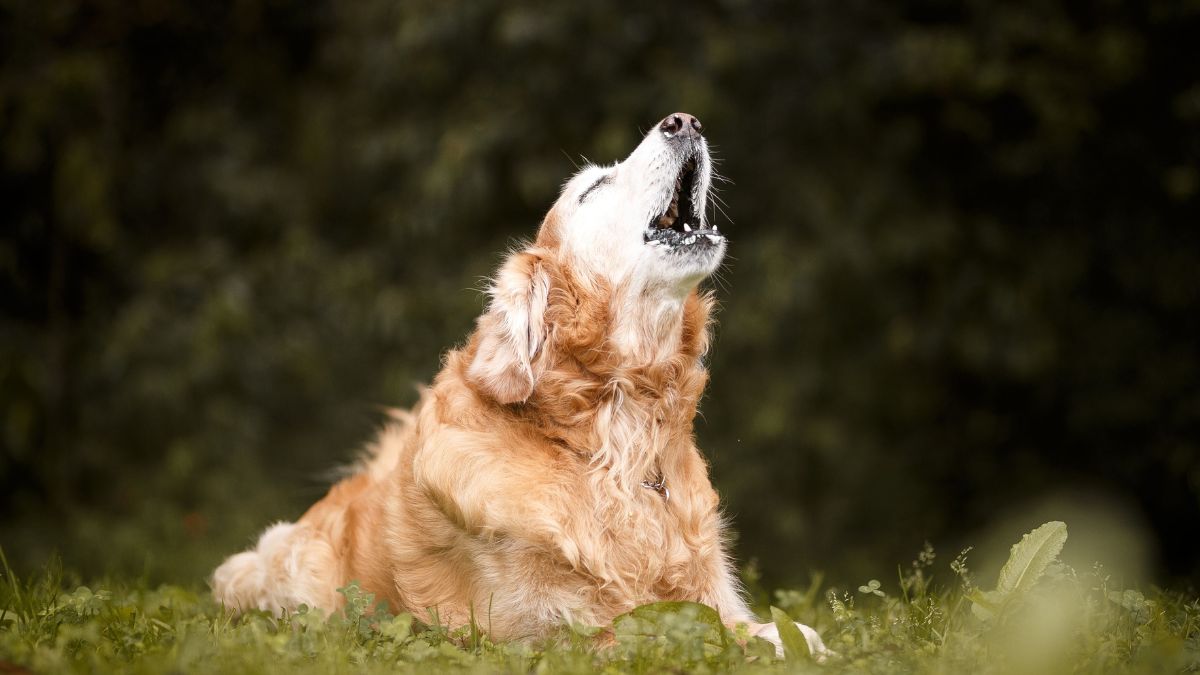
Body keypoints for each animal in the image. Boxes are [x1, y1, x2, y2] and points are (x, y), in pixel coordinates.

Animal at [211, 112, 825, 653]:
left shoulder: (711, 594)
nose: (685, 121)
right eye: (593, 188)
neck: (614, 439)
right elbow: (670, 635)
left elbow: (770, 628)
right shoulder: (544, 632)